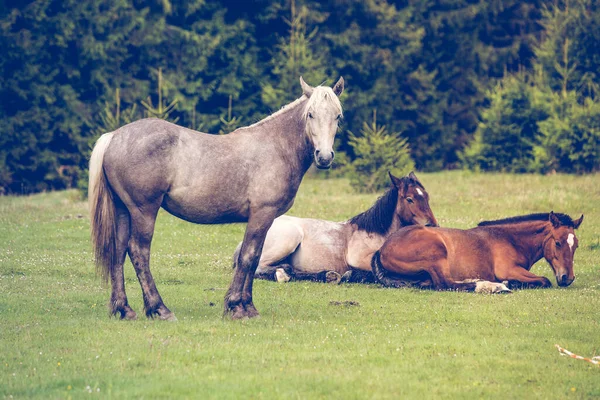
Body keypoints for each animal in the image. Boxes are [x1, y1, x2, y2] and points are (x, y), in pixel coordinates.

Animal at [86, 76, 344, 320]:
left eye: (338, 116)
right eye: (310, 114)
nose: (324, 157)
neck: (276, 147)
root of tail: (114, 136)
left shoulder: (265, 220)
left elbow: (255, 258)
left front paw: (248, 307)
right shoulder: (262, 214)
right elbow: (248, 258)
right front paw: (236, 307)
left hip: (123, 210)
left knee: (119, 251)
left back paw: (124, 309)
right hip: (144, 211)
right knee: (139, 252)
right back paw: (159, 309)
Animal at [241, 173, 438, 284]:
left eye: (426, 197)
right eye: (410, 199)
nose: (433, 226)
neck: (376, 233)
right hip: (288, 240)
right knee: (259, 268)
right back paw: (283, 274)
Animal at [372, 211, 584, 292]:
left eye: (576, 245)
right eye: (558, 243)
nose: (567, 278)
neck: (510, 239)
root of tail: (382, 249)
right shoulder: (509, 270)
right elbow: (544, 280)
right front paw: (509, 283)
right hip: (436, 251)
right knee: (444, 284)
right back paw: (488, 286)